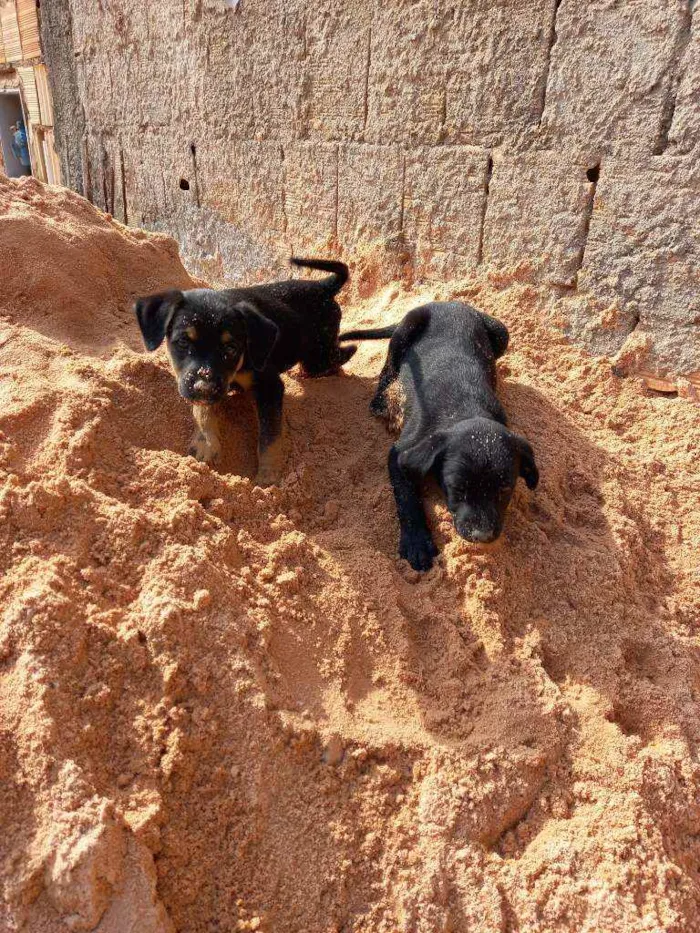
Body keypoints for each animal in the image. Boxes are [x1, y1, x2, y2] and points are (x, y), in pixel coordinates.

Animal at [135, 258, 356, 484]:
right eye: (182, 342)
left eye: (230, 348)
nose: (204, 387)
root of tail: (322, 286)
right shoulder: (201, 383)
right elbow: (201, 407)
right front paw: (206, 442)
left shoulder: (270, 386)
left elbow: (269, 436)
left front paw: (267, 476)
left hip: (318, 353)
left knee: (339, 354)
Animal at [342, 302, 540, 572]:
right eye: (457, 488)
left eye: (505, 489)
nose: (482, 536)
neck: (467, 410)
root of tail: (447, 302)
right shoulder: (401, 454)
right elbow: (406, 498)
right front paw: (417, 544)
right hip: (406, 330)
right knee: (390, 364)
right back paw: (381, 402)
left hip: (501, 333)